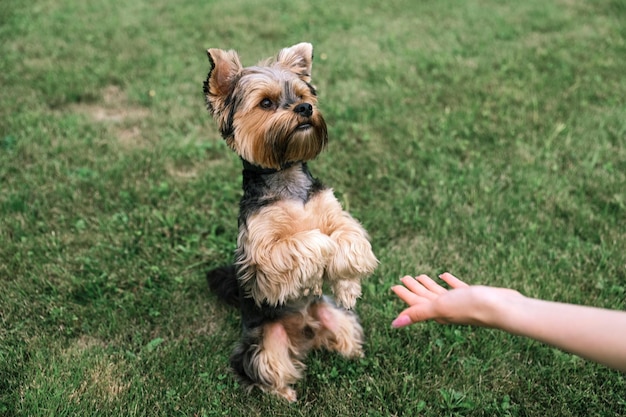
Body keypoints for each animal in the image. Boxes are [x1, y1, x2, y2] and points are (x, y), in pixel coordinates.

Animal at [202, 41, 376, 400]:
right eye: (266, 103)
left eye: (301, 95)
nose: (306, 108)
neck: (286, 174)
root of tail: (305, 333)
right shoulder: (261, 254)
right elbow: (309, 241)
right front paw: (317, 266)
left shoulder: (336, 215)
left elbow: (347, 236)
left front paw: (347, 286)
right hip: (264, 345)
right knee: (263, 369)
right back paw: (284, 394)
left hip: (336, 317)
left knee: (344, 332)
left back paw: (353, 352)